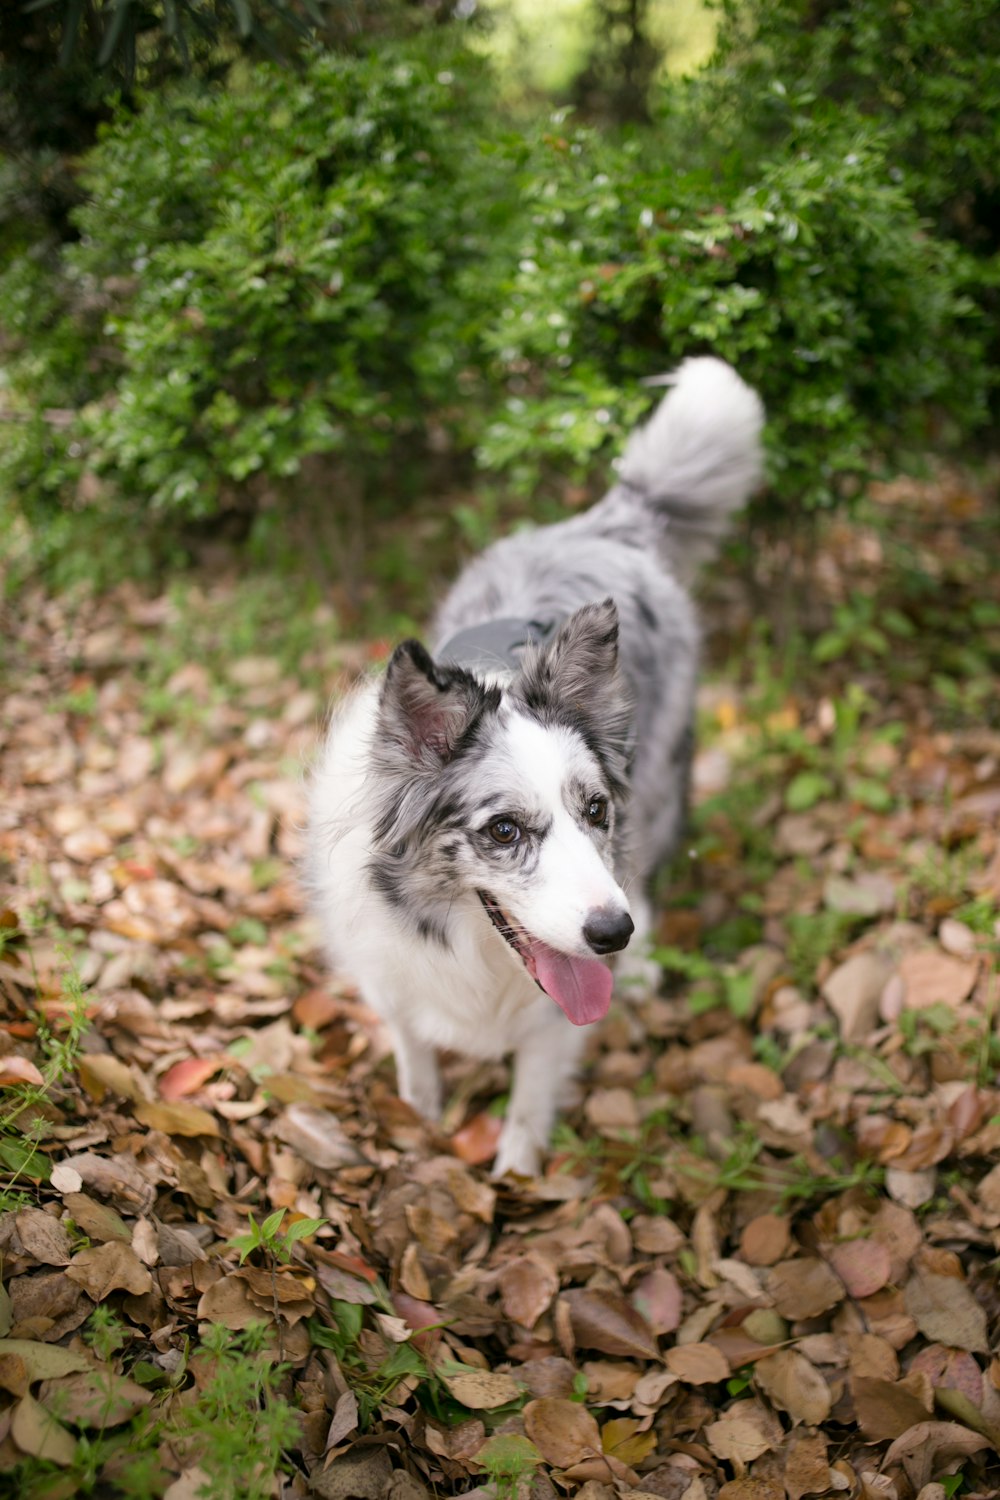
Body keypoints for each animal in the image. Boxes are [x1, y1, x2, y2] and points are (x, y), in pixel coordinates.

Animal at [308, 357, 761, 1176]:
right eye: (505, 831)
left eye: (595, 811)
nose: (615, 934)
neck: (473, 949)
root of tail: (606, 524)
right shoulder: (388, 972)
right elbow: (413, 1049)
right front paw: (418, 1115)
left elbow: (528, 1094)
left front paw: (516, 1174)